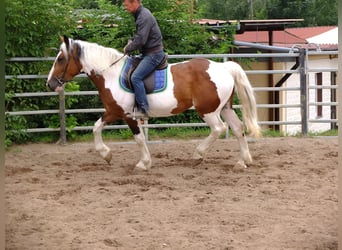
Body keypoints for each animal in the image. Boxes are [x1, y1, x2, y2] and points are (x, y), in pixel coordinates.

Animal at [45, 35, 260, 170]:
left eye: (61, 59)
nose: (50, 83)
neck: (111, 74)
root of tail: (224, 67)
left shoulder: (127, 115)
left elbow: (139, 139)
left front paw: (143, 163)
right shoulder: (113, 112)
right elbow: (96, 128)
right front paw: (106, 155)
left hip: (208, 111)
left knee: (219, 129)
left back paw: (198, 154)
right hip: (224, 108)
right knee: (238, 128)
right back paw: (243, 161)